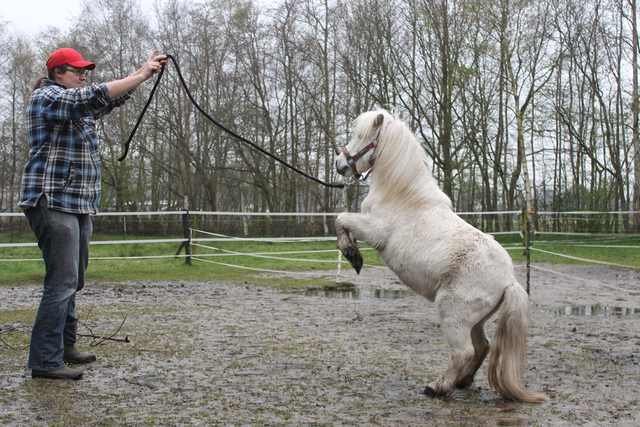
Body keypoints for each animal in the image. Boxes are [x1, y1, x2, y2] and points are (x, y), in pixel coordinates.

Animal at [332, 108, 548, 402]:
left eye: (360, 136)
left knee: (464, 352)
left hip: (453, 314)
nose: (339, 163)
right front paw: (353, 254)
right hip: (475, 320)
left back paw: (438, 387)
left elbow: (341, 219)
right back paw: (462, 381)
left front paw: (352, 254)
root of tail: (509, 280)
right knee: (483, 346)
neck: (404, 196)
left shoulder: (375, 231)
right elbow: (342, 222)